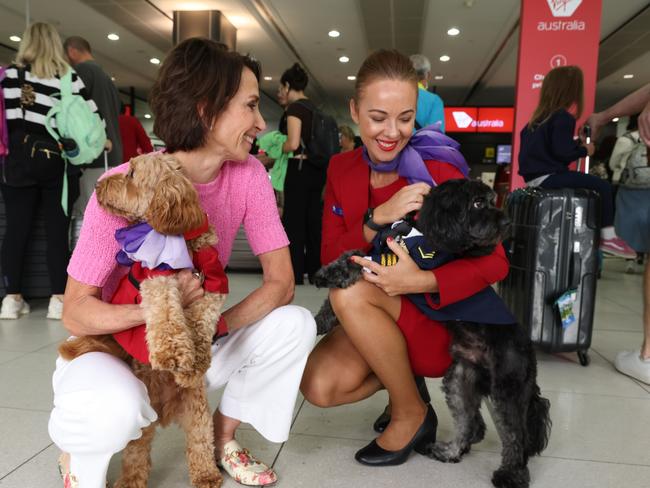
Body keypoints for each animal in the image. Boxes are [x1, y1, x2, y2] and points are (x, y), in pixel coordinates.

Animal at [58, 153, 225, 488]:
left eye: (132, 174)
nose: (97, 185)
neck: (177, 240)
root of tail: (162, 412)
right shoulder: (155, 279)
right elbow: (166, 313)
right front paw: (173, 353)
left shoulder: (212, 284)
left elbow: (202, 321)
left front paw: (195, 362)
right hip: (141, 425)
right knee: (136, 454)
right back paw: (128, 480)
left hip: (197, 411)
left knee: (201, 441)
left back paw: (206, 474)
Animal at [312, 179, 548, 488]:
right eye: (478, 203)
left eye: (490, 200)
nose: (507, 222)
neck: (423, 232)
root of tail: (528, 350)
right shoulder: (380, 252)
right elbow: (350, 256)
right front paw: (321, 317)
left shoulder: (390, 263)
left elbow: (358, 262)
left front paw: (329, 282)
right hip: (460, 379)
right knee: (471, 423)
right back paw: (449, 451)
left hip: (507, 387)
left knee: (515, 436)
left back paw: (511, 475)